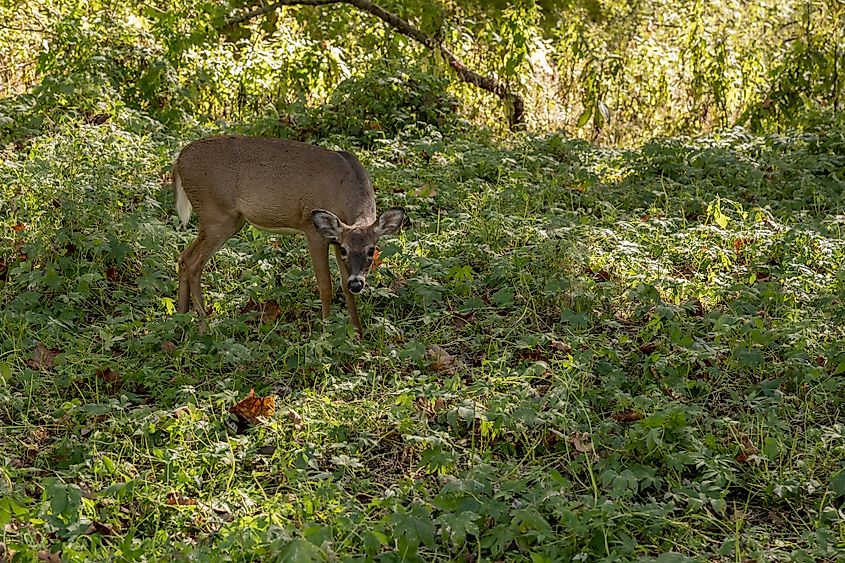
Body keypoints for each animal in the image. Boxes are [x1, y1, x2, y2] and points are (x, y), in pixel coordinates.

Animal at [171, 135, 402, 340]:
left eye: (371, 249)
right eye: (346, 249)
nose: (358, 284)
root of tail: (179, 159)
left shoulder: (336, 237)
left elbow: (344, 286)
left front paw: (358, 335)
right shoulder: (314, 231)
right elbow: (325, 285)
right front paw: (326, 334)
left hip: (230, 220)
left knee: (183, 257)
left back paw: (179, 322)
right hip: (217, 215)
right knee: (193, 262)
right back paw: (203, 328)